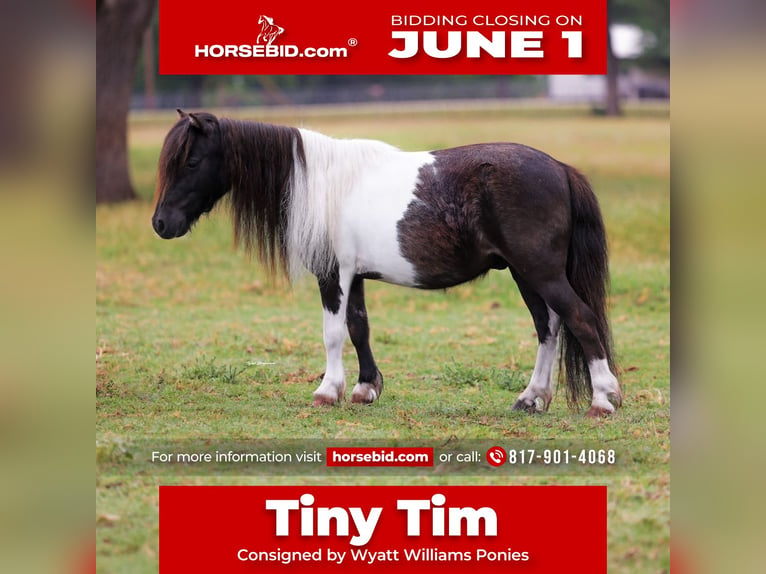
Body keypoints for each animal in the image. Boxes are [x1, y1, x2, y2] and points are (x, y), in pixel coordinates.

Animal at [152, 109, 623, 417]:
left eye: (191, 161)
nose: (160, 223)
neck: (322, 183)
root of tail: (560, 168)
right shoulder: (354, 276)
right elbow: (358, 327)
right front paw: (365, 389)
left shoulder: (332, 273)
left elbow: (333, 333)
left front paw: (328, 391)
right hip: (526, 274)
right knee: (549, 327)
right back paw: (531, 398)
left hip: (540, 271)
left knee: (579, 319)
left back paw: (602, 400)